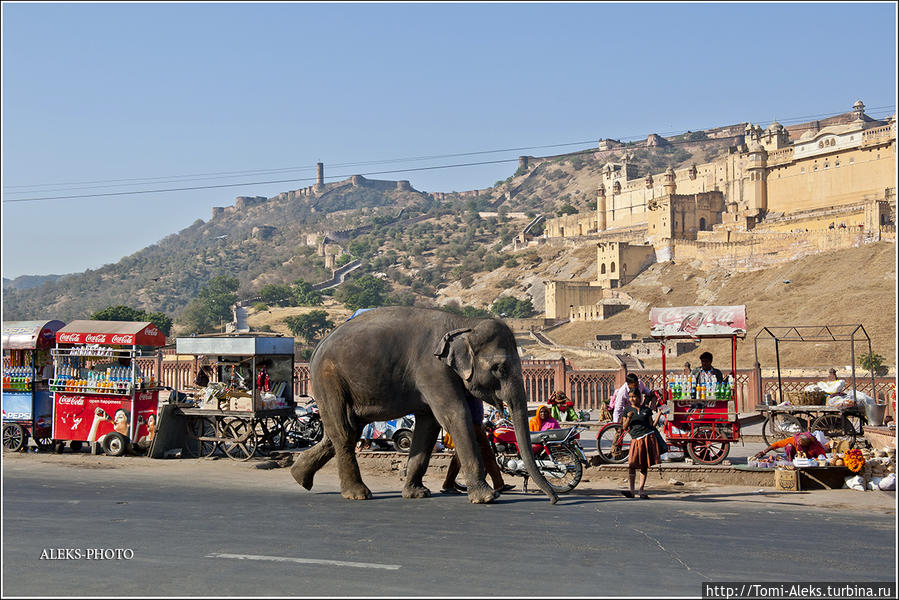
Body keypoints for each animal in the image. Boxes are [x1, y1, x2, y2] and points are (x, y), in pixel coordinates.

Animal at [288, 308, 560, 504]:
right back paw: (357, 494)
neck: (463, 324)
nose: (554, 500)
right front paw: (486, 498)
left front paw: (418, 493)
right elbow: (453, 415)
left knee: (347, 429)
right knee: (344, 431)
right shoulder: (433, 369)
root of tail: (319, 345)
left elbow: (429, 425)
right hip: (328, 378)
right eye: (499, 368)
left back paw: (299, 476)